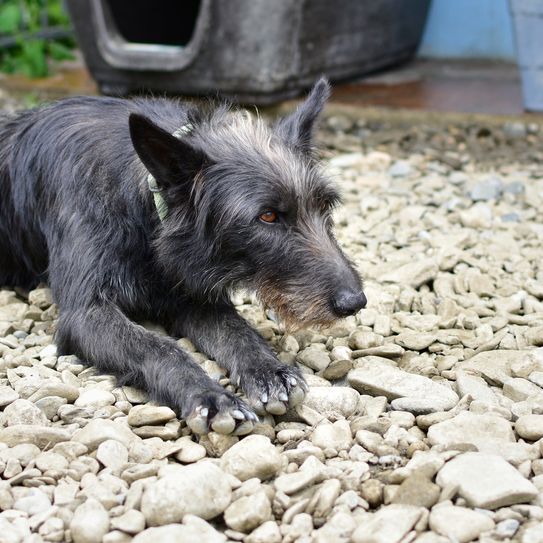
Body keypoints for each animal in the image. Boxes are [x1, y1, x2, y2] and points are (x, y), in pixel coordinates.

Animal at [0, 81, 368, 436]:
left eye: (324, 205)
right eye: (267, 216)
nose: (355, 302)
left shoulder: (191, 296)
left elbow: (238, 331)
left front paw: (269, 369)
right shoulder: (85, 315)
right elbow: (157, 347)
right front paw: (210, 397)